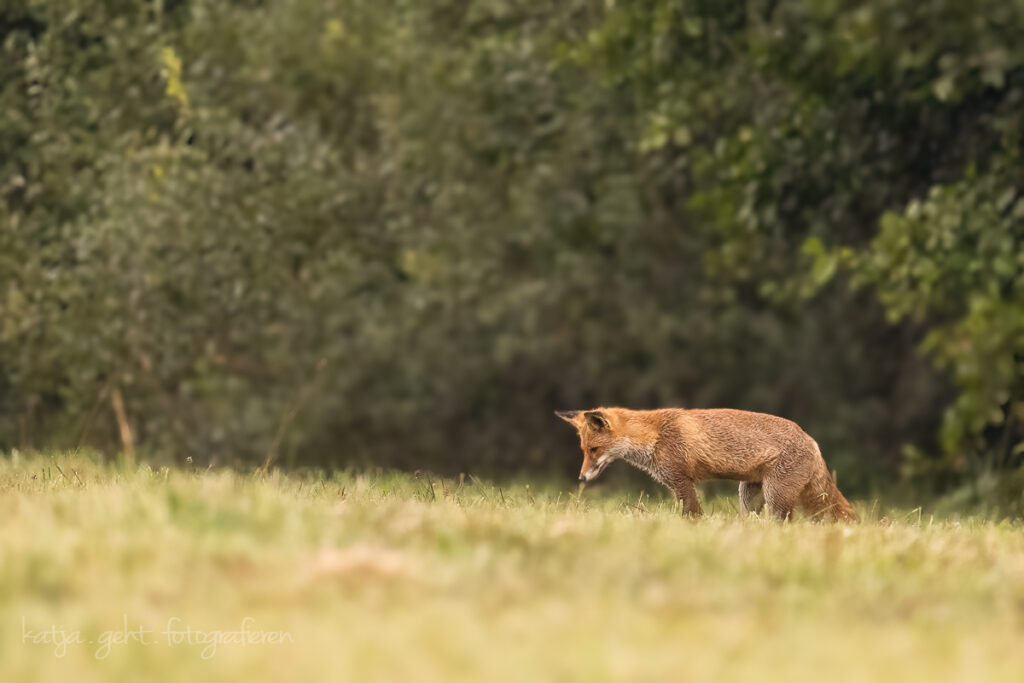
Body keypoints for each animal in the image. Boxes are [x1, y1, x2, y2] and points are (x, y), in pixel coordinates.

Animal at [556, 407, 857, 522]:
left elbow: (692, 514)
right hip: (748, 496)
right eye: (584, 450)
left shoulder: (681, 479)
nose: (581, 478)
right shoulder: (677, 482)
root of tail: (812, 440)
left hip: (776, 496)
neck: (654, 435)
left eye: (594, 450)